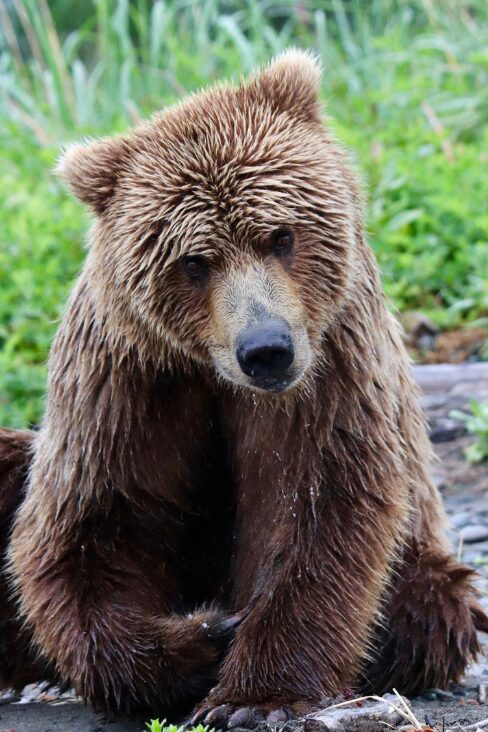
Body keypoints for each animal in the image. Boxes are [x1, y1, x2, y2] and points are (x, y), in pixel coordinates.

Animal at [1, 51, 487, 725]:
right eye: (193, 262)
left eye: (281, 235)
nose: (265, 349)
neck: (214, 374)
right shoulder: (127, 383)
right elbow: (91, 527)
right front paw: (201, 638)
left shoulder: (328, 368)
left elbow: (315, 506)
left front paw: (253, 696)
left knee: (431, 606)